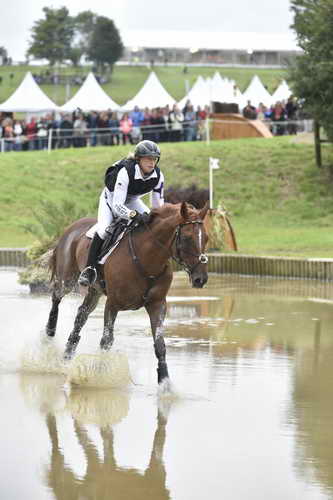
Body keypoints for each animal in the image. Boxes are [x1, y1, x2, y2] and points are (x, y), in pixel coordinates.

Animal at [45, 201, 209, 384]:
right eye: (187, 238)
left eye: (207, 238)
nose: (201, 279)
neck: (147, 259)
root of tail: (71, 226)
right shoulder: (112, 304)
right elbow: (106, 341)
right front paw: (99, 376)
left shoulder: (157, 304)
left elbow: (160, 344)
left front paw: (165, 383)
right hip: (67, 279)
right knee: (56, 296)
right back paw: (50, 331)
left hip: (95, 290)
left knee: (82, 314)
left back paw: (67, 355)